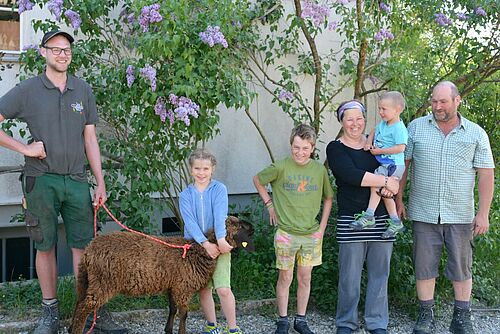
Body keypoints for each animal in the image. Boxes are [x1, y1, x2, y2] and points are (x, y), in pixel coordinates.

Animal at [69, 215, 254, 334]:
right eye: (239, 225)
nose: (253, 227)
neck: (198, 252)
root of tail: (89, 251)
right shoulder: (183, 287)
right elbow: (184, 313)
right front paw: (181, 332)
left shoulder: (173, 285)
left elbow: (172, 309)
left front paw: (168, 330)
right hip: (103, 281)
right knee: (84, 307)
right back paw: (77, 330)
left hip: (86, 279)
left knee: (78, 302)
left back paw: (71, 328)